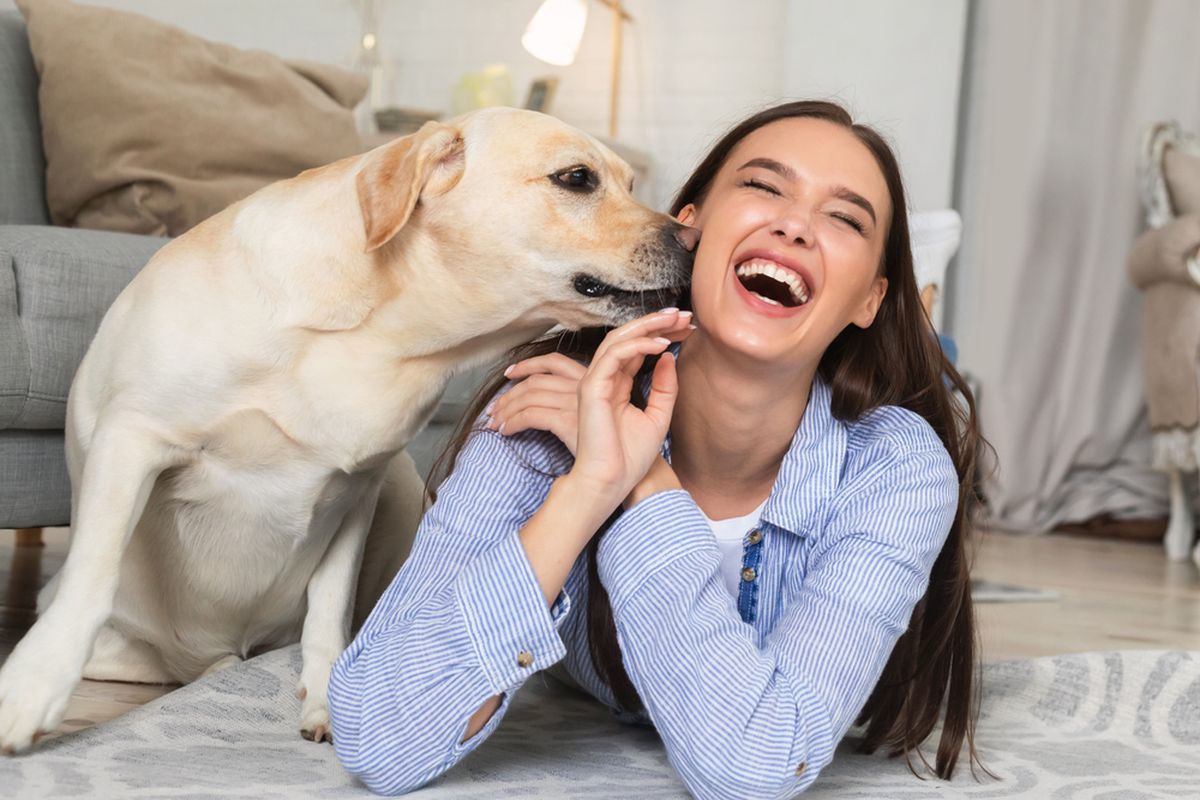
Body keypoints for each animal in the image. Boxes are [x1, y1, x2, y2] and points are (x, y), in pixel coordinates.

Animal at [0, 107, 696, 753]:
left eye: (631, 183)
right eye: (576, 179)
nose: (693, 239)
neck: (380, 334)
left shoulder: (360, 485)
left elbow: (329, 607)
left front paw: (324, 700)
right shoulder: (133, 437)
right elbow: (93, 574)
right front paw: (32, 688)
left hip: (400, 487)